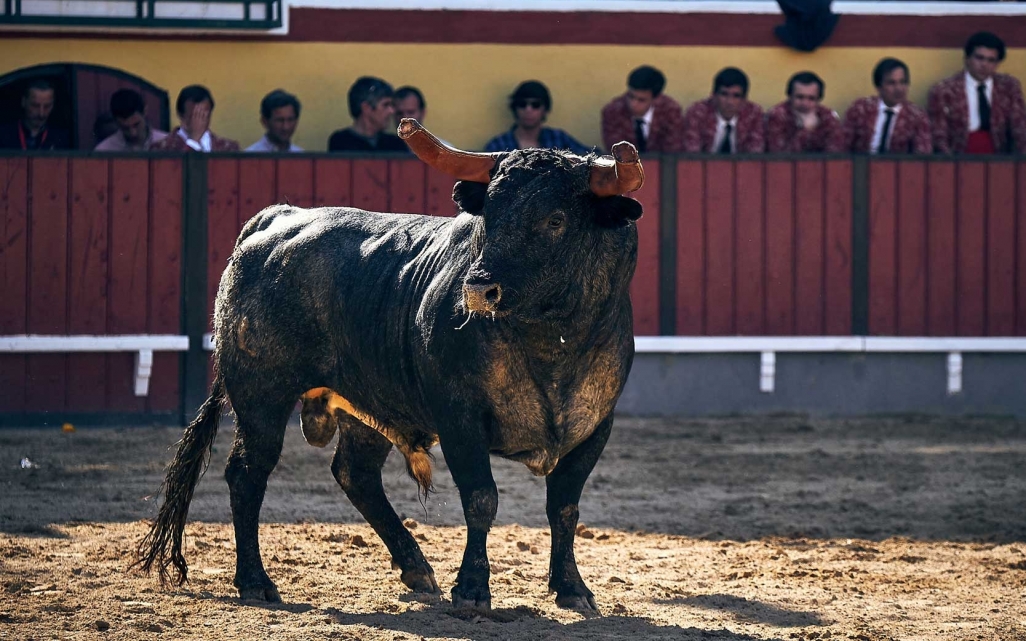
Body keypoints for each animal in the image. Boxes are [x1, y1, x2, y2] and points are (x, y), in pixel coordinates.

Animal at [138, 121, 640, 611]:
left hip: (365, 406)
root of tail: (276, 219)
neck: (552, 343)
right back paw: (256, 582)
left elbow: (564, 508)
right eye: (490, 215)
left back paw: (416, 568)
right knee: (248, 473)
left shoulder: (596, 427)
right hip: (261, 395)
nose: (479, 289)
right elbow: (481, 498)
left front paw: (573, 589)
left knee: (355, 474)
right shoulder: (459, 418)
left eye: (556, 219)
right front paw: (472, 590)